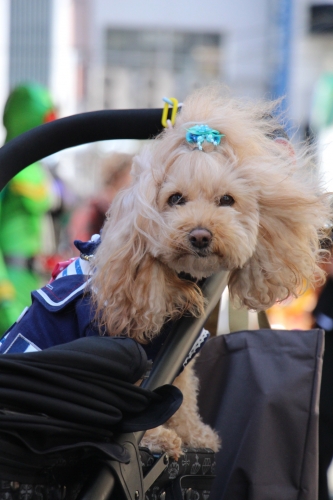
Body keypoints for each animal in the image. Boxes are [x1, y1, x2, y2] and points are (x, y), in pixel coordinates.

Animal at [90, 86, 330, 458]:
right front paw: (159, 439)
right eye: (175, 199)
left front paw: (197, 436)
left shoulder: (177, 360)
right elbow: (137, 410)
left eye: (227, 200)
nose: (201, 236)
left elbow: (183, 398)